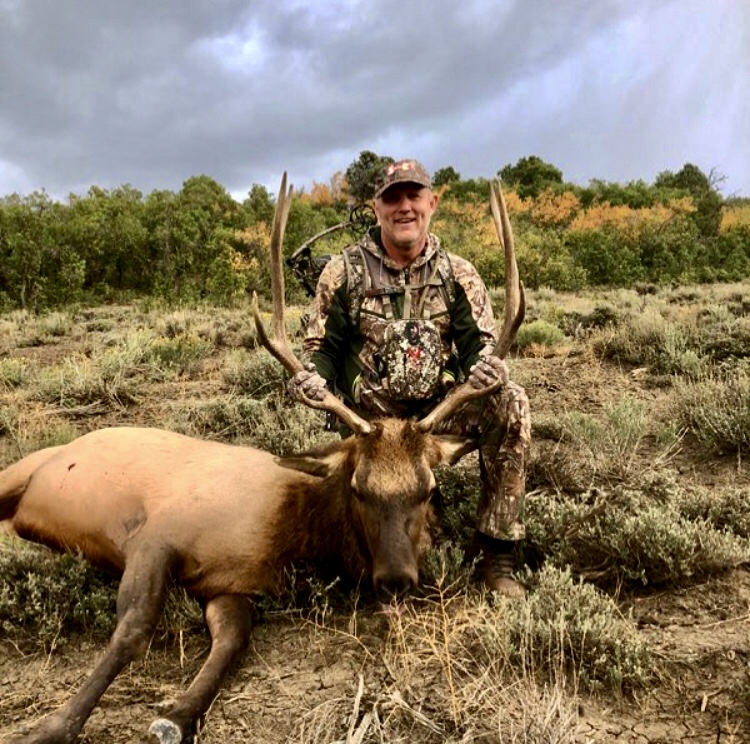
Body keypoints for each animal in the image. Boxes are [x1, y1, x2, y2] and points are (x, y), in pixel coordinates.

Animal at [0, 173, 524, 744]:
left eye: (428, 490)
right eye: (357, 487)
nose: (397, 581)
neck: (280, 535)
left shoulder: (232, 589)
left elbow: (233, 643)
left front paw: (176, 716)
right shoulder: (156, 533)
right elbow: (133, 632)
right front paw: (53, 726)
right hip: (16, 470)